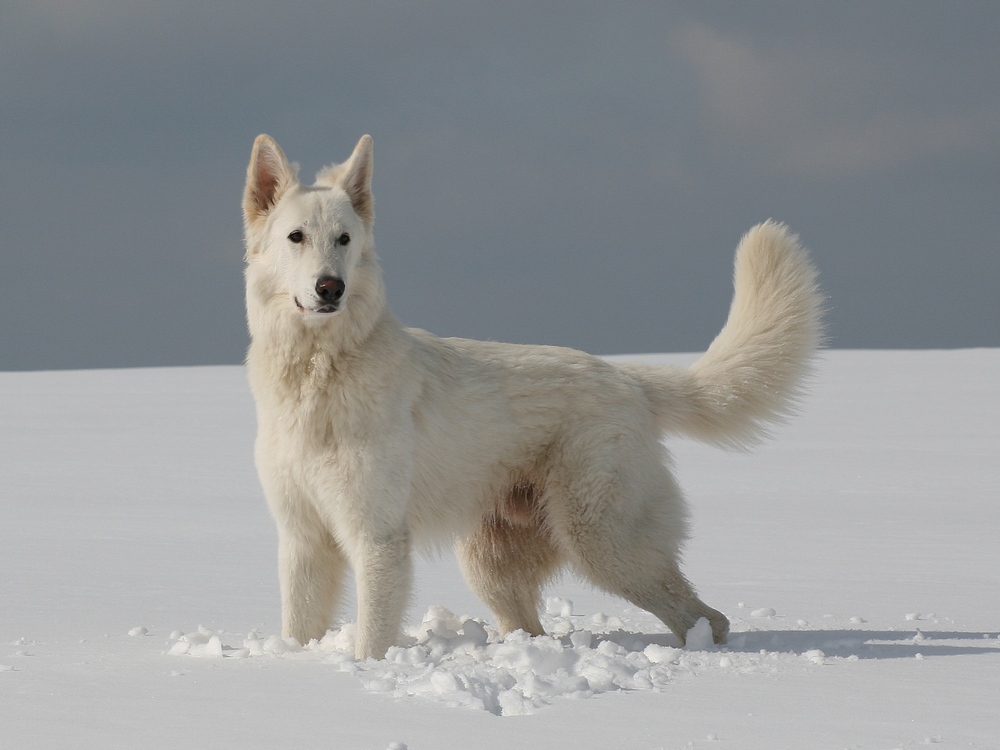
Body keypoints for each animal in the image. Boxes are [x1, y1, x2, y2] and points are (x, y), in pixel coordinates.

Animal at [240, 134, 820, 656]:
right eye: (296, 237)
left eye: (343, 239)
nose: (330, 288)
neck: (319, 371)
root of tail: (628, 379)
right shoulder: (302, 541)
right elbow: (298, 628)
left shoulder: (376, 539)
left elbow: (371, 642)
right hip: (494, 564)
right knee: (535, 627)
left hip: (605, 544)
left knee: (705, 617)